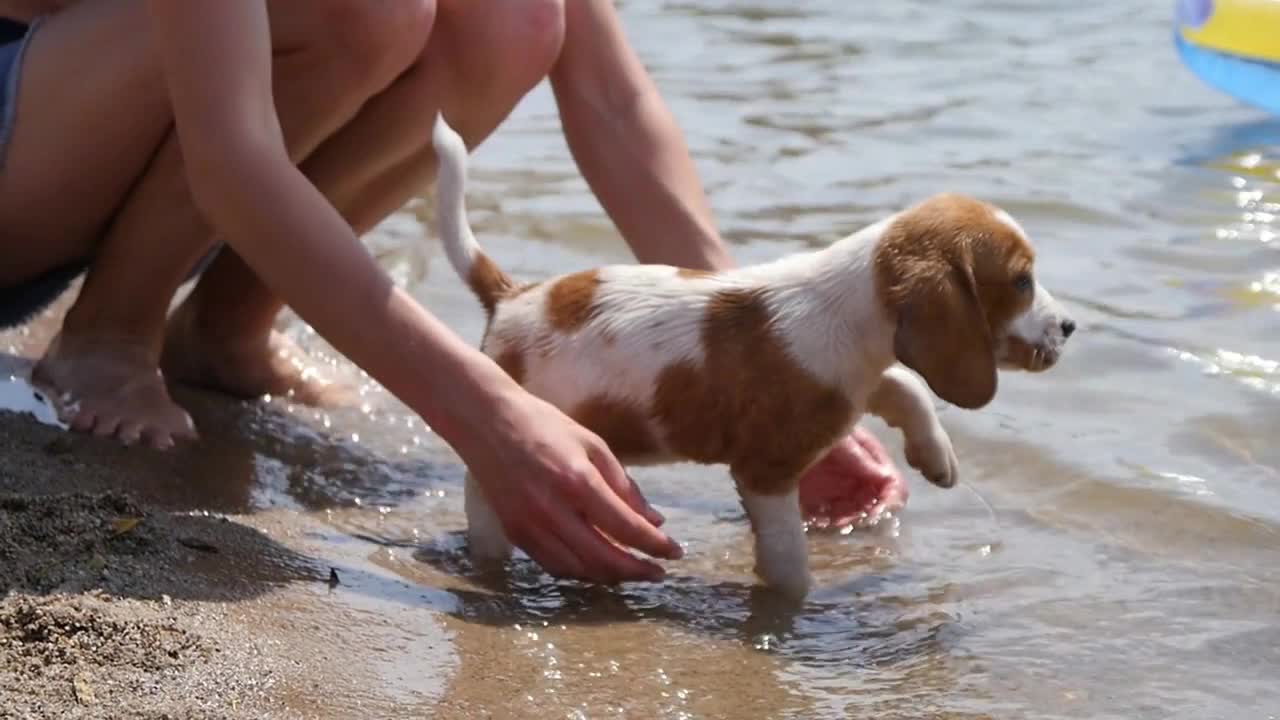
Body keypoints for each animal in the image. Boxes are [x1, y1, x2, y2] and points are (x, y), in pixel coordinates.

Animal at [430, 113, 1070, 594]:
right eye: (1021, 281)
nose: (1069, 325)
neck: (850, 301)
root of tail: (512, 297)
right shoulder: (767, 474)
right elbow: (788, 559)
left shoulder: (856, 380)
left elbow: (906, 386)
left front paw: (937, 458)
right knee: (485, 499)